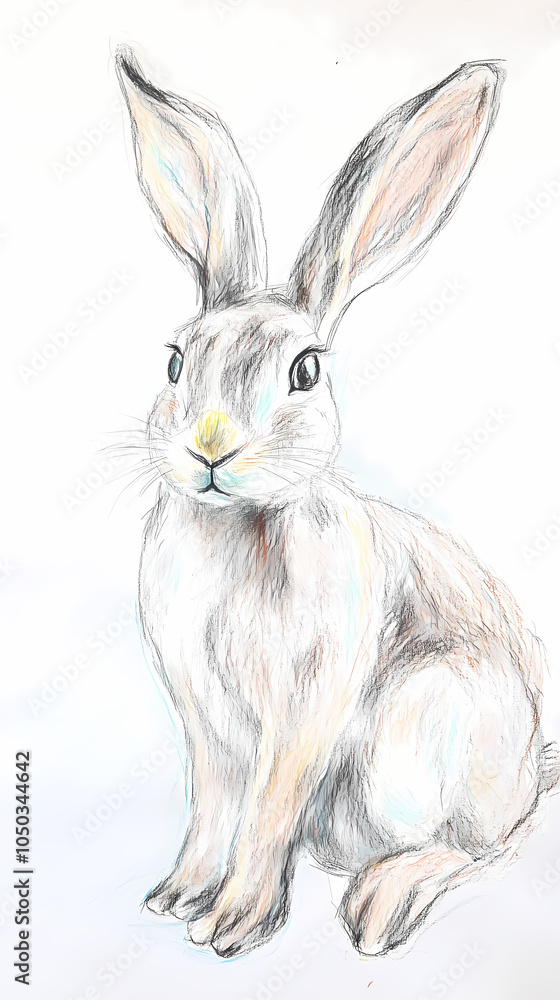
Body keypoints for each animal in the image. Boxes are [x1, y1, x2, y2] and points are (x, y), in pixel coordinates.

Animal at [115, 46, 559, 959]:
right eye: (176, 361)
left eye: (306, 370)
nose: (211, 447)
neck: (239, 524)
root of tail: (533, 772)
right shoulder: (204, 723)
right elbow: (212, 807)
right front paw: (175, 898)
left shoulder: (306, 711)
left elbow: (266, 810)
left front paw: (234, 925)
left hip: (426, 726)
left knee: (473, 849)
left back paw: (382, 904)